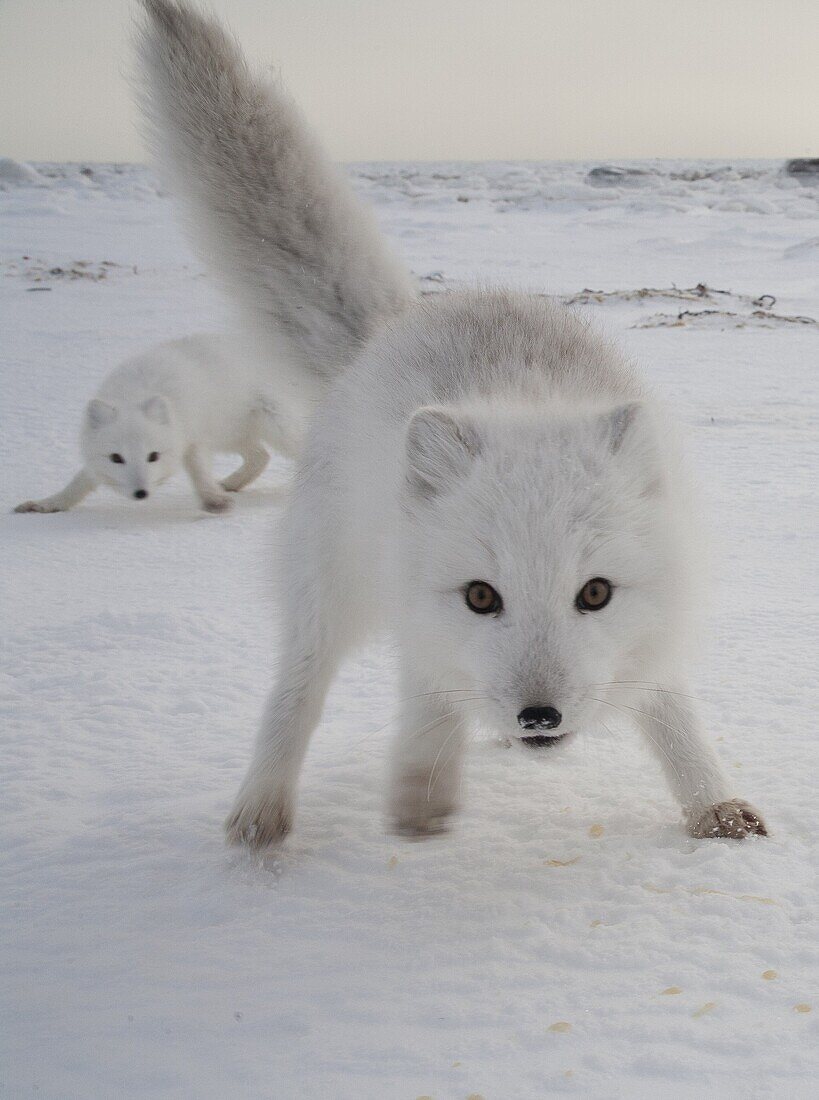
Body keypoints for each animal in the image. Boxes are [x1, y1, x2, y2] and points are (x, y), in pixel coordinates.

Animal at [14, 330, 301, 514]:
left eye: (153, 456)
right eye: (116, 458)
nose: (141, 494)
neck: (136, 394)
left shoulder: (192, 438)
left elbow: (198, 470)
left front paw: (212, 501)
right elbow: (81, 480)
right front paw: (49, 504)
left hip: (276, 427)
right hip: (231, 434)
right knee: (260, 456)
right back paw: (230, 484)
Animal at [137, 0, 765, 844]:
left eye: (595, 593)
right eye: (480, 597)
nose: (538, 719)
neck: (524, 401)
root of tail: (393, 326)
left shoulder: (654, 625)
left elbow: (671, 710)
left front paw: (713, 808)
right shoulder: (420, 618)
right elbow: (423, 693)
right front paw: (420, 793)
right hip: (330, 587)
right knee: (302, 689)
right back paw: (269, 811)